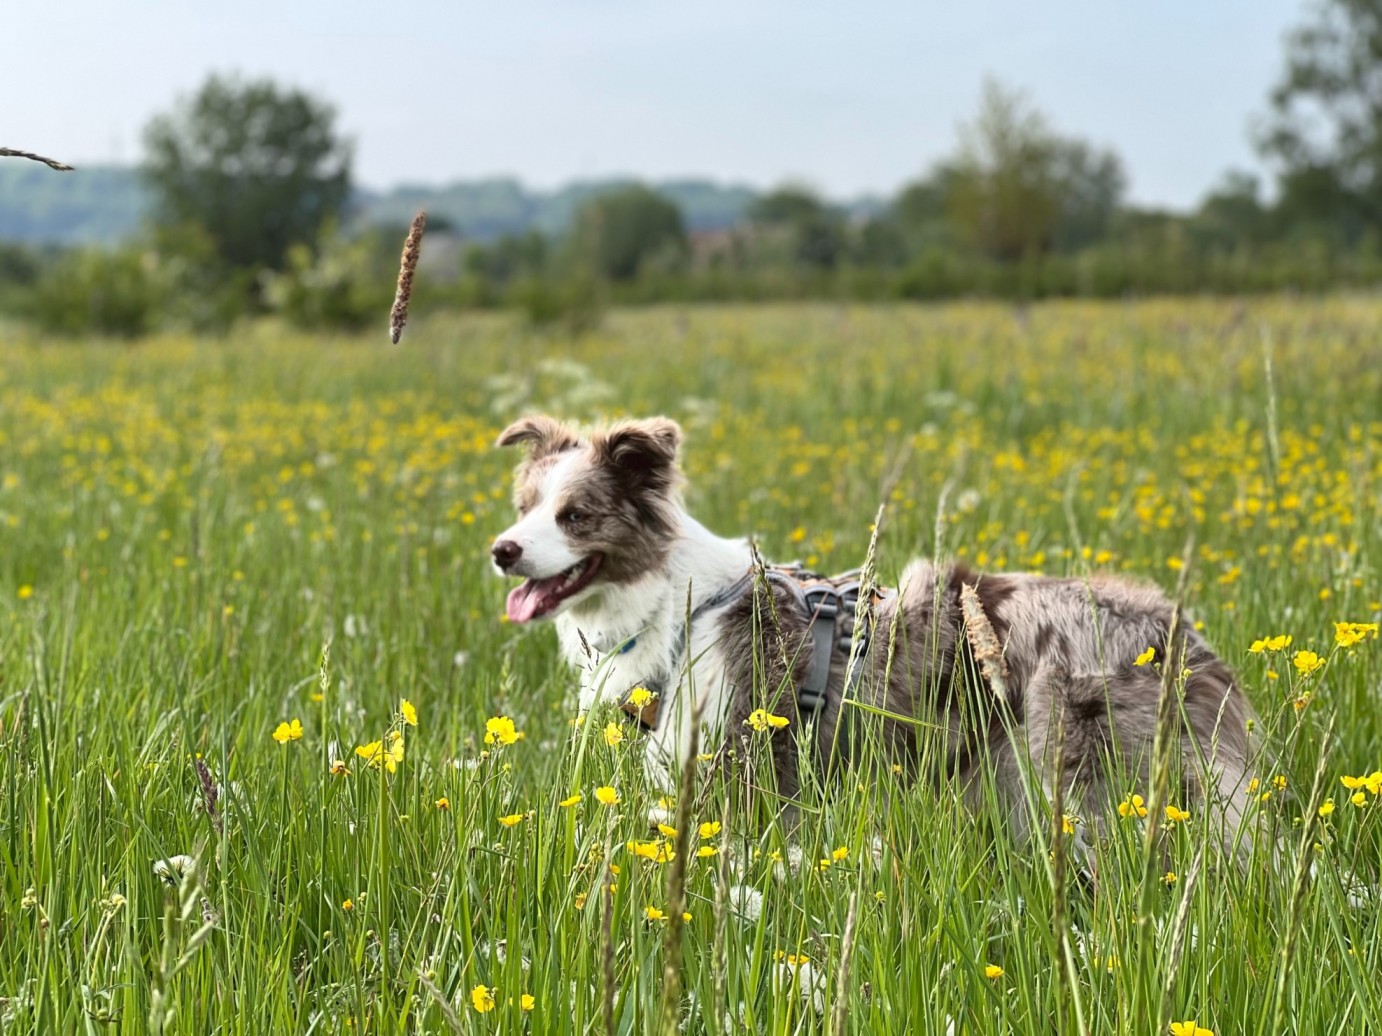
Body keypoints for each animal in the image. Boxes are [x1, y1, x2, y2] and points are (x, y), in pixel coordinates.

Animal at [491, 417, 1260, 845]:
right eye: (523, 506)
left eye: (574, 516)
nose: (502, 550)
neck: (681, 608)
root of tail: (1176, 633)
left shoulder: (736, 770)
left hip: (1080, 774)